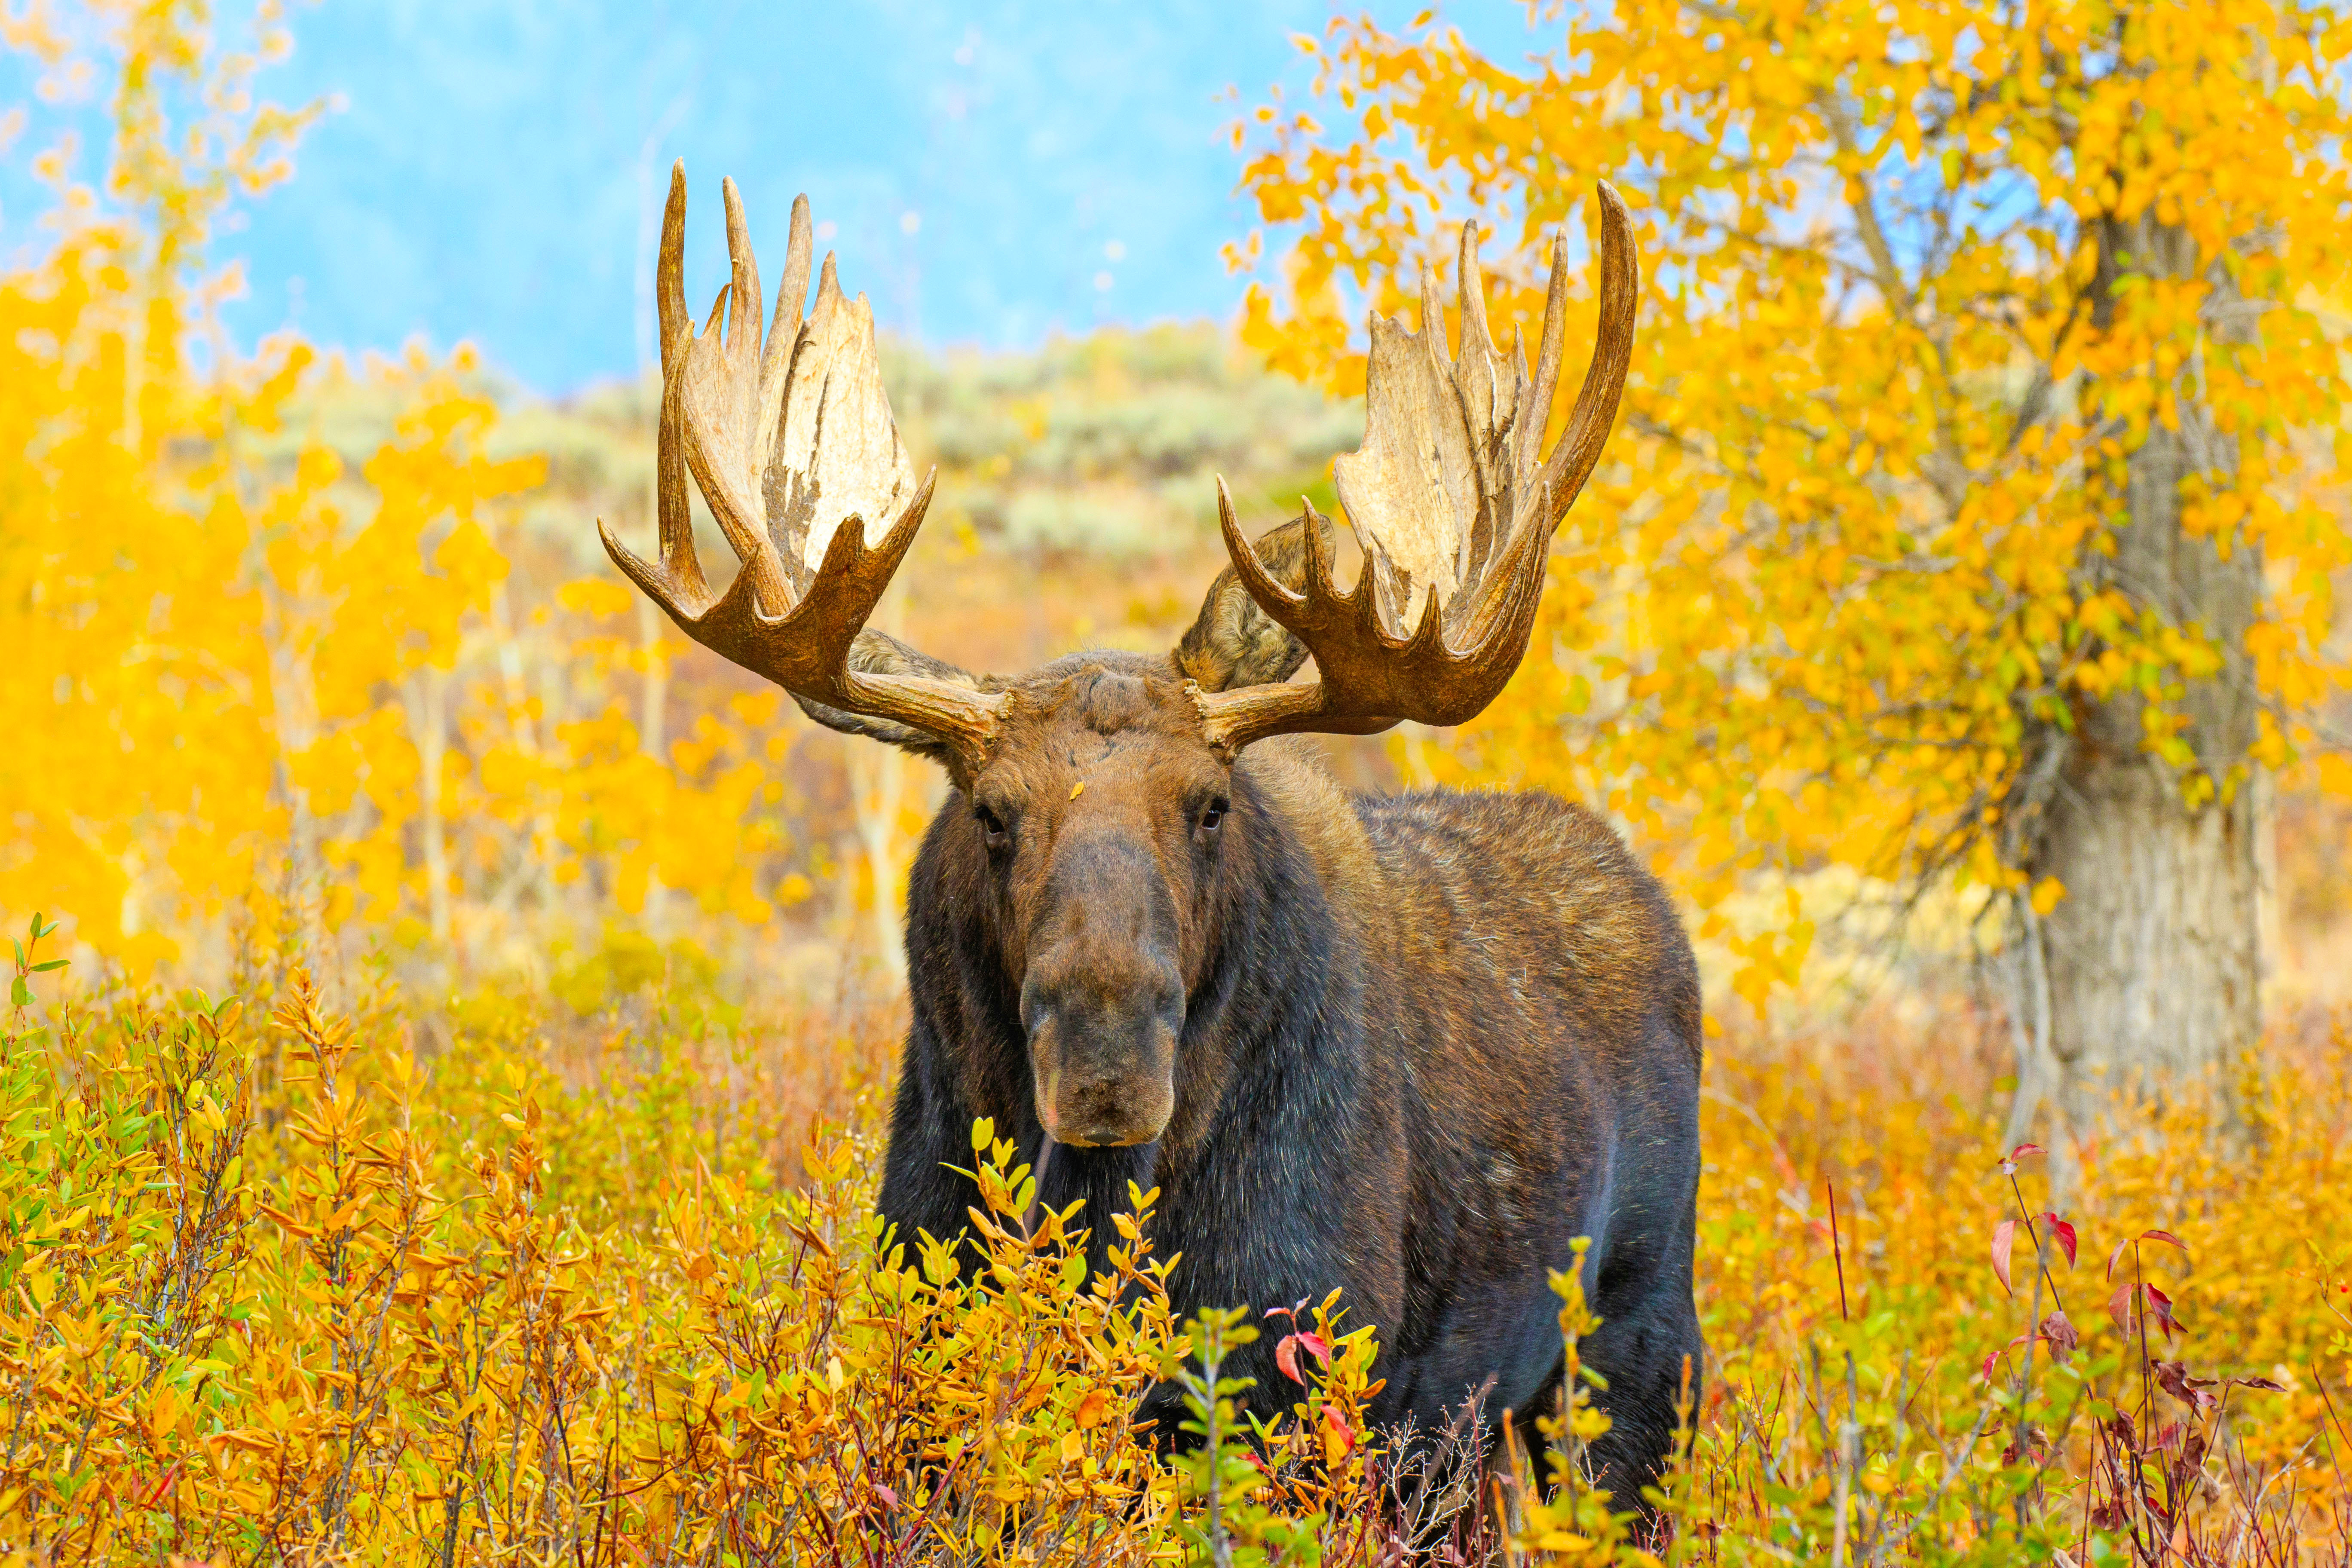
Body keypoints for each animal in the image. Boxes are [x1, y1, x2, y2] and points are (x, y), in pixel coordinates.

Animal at [602, 165, 1712, 1504]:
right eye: (990, 810)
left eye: (1210, 804)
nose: (1107, 1058)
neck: (1097, 1208)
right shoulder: (929, 1359)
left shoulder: (1301, 1372)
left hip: (1635, 1347)